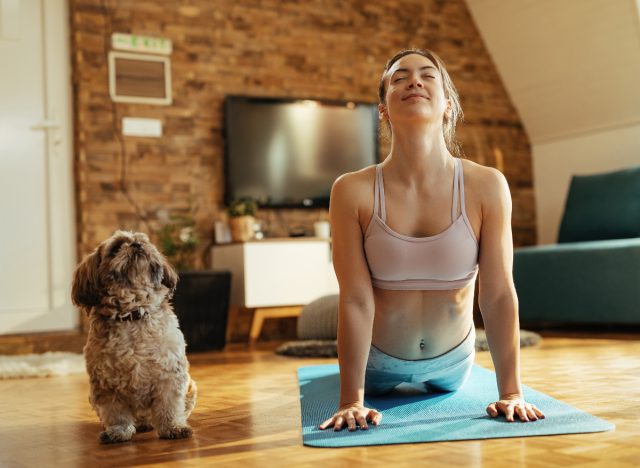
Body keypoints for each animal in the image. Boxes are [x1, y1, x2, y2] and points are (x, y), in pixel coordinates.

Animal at [71, 232, 196, 444]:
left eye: (144, 241)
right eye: (115, 248)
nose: (136, 244)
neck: (133, 314)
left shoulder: (170, 375)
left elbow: (169, 405)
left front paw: (173, 427)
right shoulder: (105, 384)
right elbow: (116, 413)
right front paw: (118, 432)